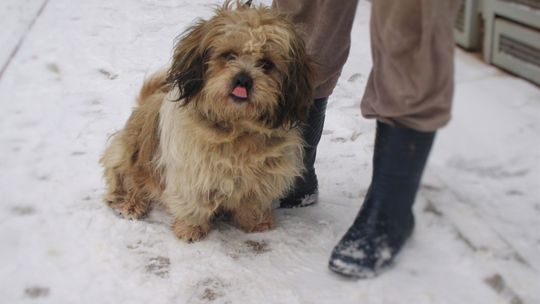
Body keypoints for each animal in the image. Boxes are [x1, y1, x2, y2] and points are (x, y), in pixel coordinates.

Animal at [100, 1, 316, 241]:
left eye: (266, 64)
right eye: (229, 55)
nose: (243, 80)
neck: (237, 129)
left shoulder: (263, 176)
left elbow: (253, 201)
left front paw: (257, 222)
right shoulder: (192, 172)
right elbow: (193, 203)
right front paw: (190, 229)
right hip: (129, 152)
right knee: (126, 178)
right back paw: (130, 203)